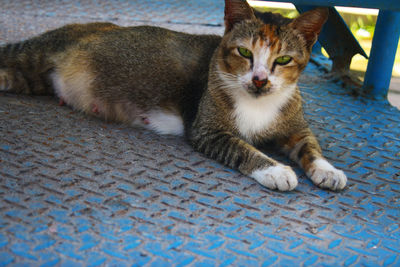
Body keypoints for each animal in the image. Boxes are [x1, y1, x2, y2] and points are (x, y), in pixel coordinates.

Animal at [0, 0, 346, 193]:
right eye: (245, 52)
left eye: (283, 59)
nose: (259, 80)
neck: (259, 105)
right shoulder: (208, 131)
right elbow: (243, 149)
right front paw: (276, 170)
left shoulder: (295, 129)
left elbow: (310, 147)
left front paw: (328, 171)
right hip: (35, 52)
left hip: (31, 79)